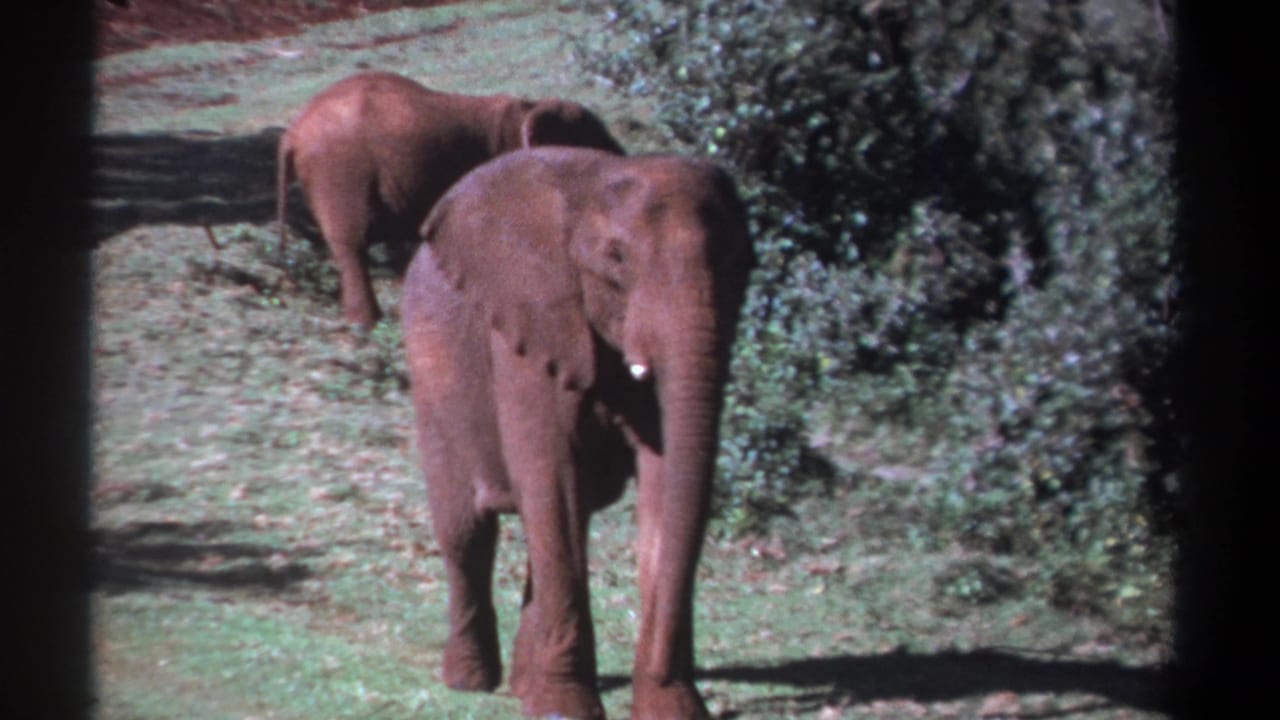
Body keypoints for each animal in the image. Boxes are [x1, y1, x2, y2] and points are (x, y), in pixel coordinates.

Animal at [276, 71, 626, 328]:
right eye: (593, 142)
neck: (528, 107)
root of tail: (292, 133)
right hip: (339, 173)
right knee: (351, 245)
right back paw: (366, 324)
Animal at [401, 147, 755, 719]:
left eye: (739, 263)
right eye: (616, 259)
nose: (663, 672)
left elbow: (661, 479)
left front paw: (670, 709)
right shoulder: (531, 327)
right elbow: (551, 473)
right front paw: (563, 709)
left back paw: (521, 685)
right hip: (429, 370)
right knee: (468, 532)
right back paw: (471, 682)